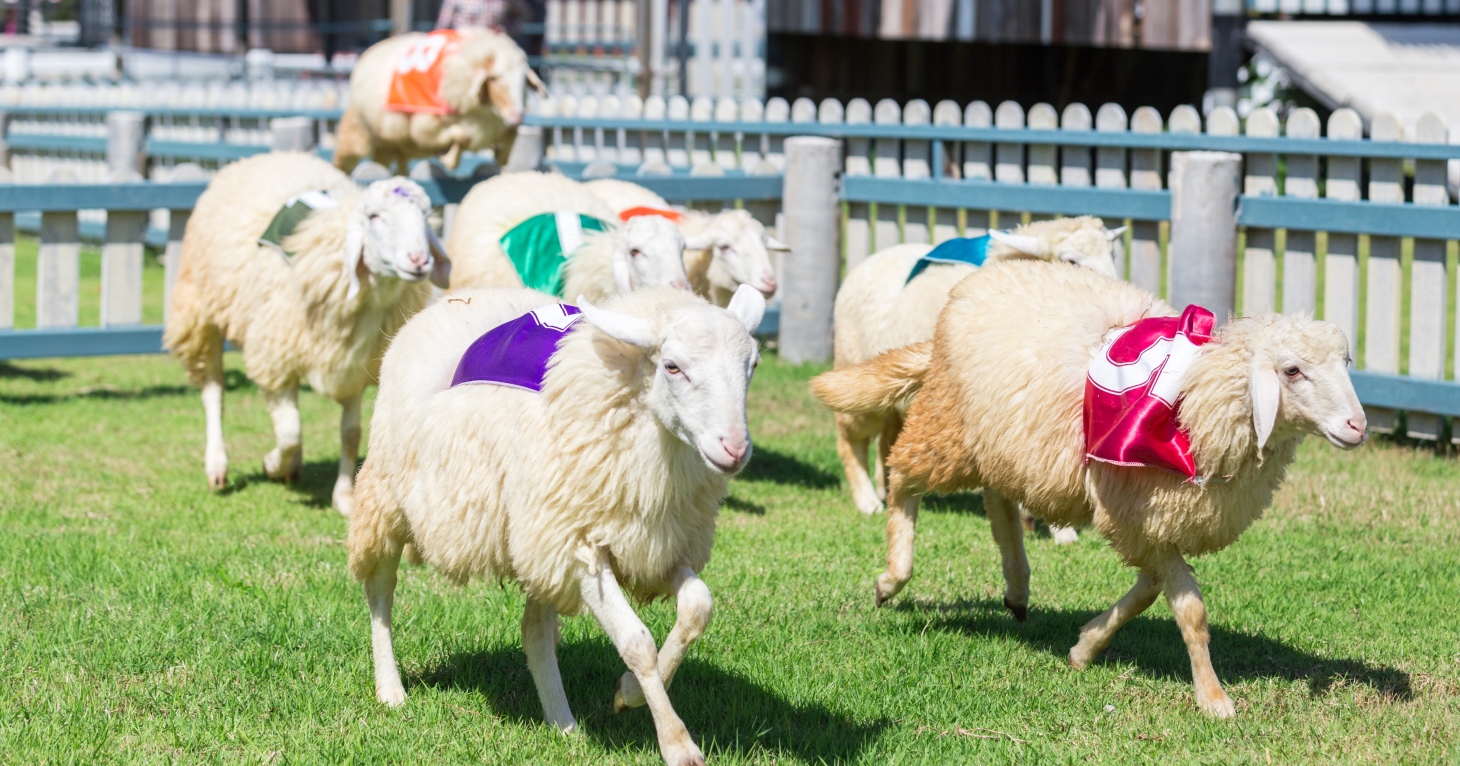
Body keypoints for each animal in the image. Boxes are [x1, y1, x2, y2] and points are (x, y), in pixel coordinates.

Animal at [164, 151, 449, 516]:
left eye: (425, 216)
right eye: (373, 216)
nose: (419, 261)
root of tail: (268, 155)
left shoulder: (354, 363)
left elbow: (350, 433)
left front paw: (343, 496)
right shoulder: (273, 357)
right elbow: (290, 432)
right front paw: (272, 464)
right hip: (201, 308)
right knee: (214, 391)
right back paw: (218, 465)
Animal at [333, 27, 545, 174]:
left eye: (524, 80)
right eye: (494, 78)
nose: (518, 116)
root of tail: (373, 49)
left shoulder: (492, 126)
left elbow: (510, 137)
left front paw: (500, 155)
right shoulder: (425, 127)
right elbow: (461, 138)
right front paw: (446, 157)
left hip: (393, 144)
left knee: (392, 165)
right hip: (359, 132)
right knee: (343, 162)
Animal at [346, 284, 767, 766]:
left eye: (752, 366)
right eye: (672, 367)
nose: (735, 449)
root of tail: (465, 295)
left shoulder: (654, 541)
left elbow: (698, 608)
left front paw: (627, 693)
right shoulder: (580, 547)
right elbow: (636, 642)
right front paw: (677, 743)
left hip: (537, 536)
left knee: (535, 631)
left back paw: (563, 724)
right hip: (388, 499)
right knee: (381, 590)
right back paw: (391, 689)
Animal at [811, 259, 1365, 717]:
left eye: (1345, 364)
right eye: (1292, 371)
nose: (1358, 426)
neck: (1194, 400)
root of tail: (971, 286)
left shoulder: (1150, 521)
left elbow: (1150, 592)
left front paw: (1085, 647)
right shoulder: (1134, 513)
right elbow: (1189, 609)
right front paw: (1213, 698)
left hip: (1003, 441)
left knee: (998, 501)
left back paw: (1017, 588)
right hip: (948, 427)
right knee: (902, 478)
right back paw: (891, 578)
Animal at [828, 216, 1123, 536]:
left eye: (1113, 254)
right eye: (1070, 260)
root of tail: (871, 258)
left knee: (887, 441)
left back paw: (884, 488)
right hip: (858, 379)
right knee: (849, 439)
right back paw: (867, 499)